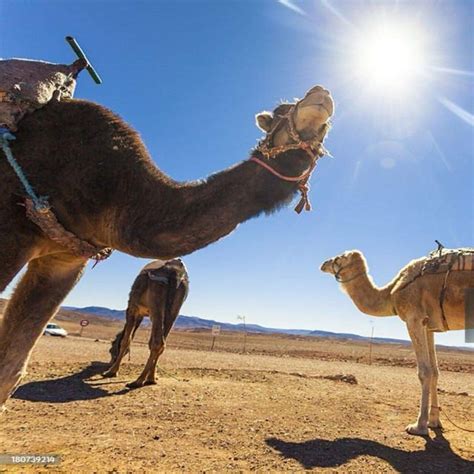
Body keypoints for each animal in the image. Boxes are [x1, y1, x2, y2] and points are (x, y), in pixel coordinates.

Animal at [105, 260, 189, 388]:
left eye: (111, 350)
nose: (109, 362)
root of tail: (176, 273)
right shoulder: (143, 315)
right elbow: (146, 342)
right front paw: (154, 376)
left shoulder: (132, 308)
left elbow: (126, 340)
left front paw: (112, 371)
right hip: (174, 308)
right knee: (161, 343)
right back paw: (150, 379)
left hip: (156, 297)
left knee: (158, 342)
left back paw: (138, 381)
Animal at [320, 250, 472, 436]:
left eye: (338, 258)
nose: (323, 264)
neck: (391, 292)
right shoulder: (429, 325)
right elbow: (435, 371)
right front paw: (434, 422)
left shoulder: (413, 318)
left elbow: (424, 372)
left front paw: (419, 426)